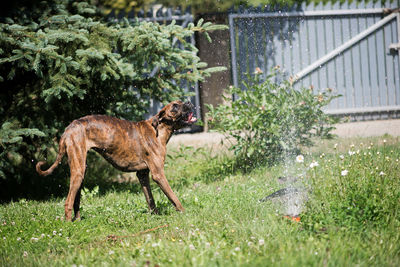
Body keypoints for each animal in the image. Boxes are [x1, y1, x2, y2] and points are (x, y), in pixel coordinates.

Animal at [35, 100, 197, 222]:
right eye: (175, 106)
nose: (190, 102)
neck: (159, 129)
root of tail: (68, 129)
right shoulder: (158, 175)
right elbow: (174, 197)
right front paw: (184, 213)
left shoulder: (142, 175)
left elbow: (150, 199)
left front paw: (155, 216)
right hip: (78, 173)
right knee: (68, 202)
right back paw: (69, 225)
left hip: (80, 172)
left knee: (76, 201)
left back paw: (78, 221)